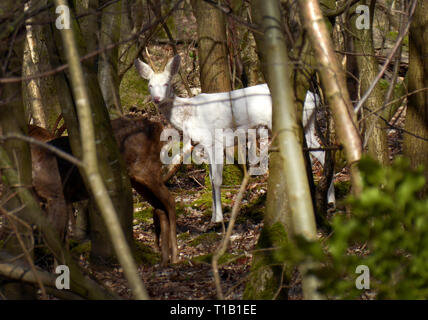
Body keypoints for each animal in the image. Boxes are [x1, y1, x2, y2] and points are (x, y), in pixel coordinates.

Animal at [135, 55, 336, 224]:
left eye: (166, 83)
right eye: (150, 85)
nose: (157, 98)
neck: (189, 116)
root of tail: (314, 97)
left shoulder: (214, 140)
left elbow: (216, 180)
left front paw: (217, 220)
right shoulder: (204, 145)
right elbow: (210, 178)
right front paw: (214, 217)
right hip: (308, 124)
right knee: (321, 152)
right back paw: (330, 200)